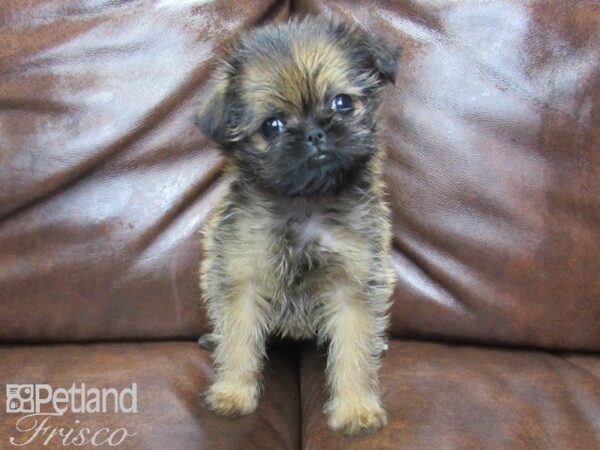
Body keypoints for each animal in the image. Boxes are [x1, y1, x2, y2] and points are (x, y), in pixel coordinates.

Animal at [197, 17, 400, 436]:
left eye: (342, 103)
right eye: (272, 126)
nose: (314, 133)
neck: (305, 205)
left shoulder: (353, 287)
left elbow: (354, 350)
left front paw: (356, 408)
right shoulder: (242, 278)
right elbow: (239, 339)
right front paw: (233, 392)